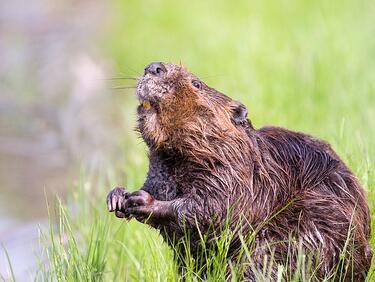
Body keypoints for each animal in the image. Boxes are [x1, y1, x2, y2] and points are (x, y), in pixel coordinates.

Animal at [106, 61, 374, 280]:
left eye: (197, 83)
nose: (154, 67)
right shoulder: (161, 169)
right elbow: (158, 186)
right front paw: (117, 196)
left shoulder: (236, 173)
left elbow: (216, 208)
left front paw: (142, 201)